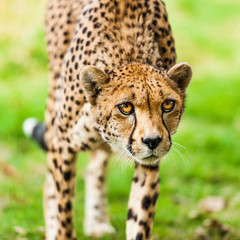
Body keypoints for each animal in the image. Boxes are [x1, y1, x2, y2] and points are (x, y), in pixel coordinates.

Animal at [23, 0, 192, 239]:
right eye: (126, 107)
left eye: (167, 104)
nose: (152, 141)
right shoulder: (62, 146)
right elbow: (64, 209)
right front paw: (60, 227)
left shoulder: (149, 165)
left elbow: (139, 219)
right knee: (50, 185)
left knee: (95, 168)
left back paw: (96, 221)